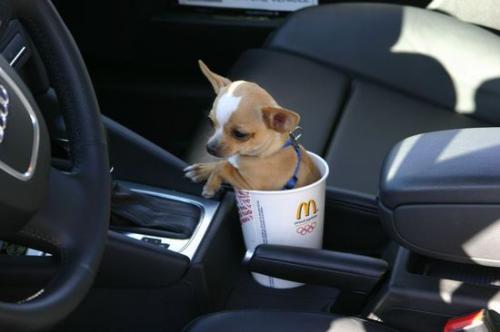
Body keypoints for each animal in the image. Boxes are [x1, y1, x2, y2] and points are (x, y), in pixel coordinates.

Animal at [184, 60, 320, 197]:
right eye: (210, 122)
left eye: (240, 134)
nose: (210, 148)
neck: (268, 153)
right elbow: (224, 163)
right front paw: (202, 170)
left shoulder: (251, 186)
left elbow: (223, 165)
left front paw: (211, 184)